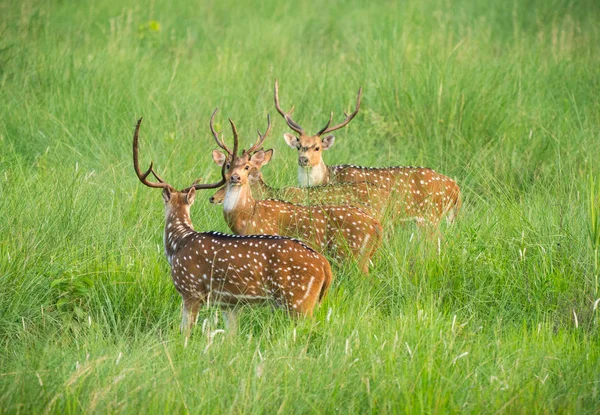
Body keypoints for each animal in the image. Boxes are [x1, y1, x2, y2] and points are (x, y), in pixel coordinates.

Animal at [131, 117, 332, 334]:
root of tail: (325, 265)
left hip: (300, 301)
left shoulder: (190, 290)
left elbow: (185, 332)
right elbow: (231, 335)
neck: (178, 244)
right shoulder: (229, 304)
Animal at [209, 109, 382, 276]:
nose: (235, 177)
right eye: (228, 165)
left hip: (354, 255)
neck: (247, 216)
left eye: (247, 167)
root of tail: (376, 225)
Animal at [274, 78, 462, 228]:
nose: (303, 159)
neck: (327, 177)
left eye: (317, 147)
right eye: (298, 145)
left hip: (432, 214)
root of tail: (456, 188)